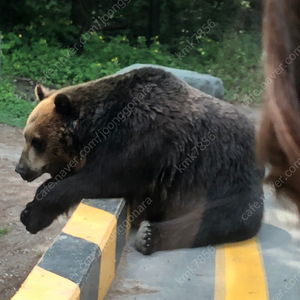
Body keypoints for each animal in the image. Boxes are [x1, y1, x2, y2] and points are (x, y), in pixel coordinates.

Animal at [16, 67, 264, 254]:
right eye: (25, 136)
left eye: (37, 141)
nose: (20, 169)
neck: (98, 128)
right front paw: (30, 210)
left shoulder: (141, 142)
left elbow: (101, 179)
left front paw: (31, 214)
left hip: (225, 174)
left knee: (229, 216)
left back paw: (149, 235)